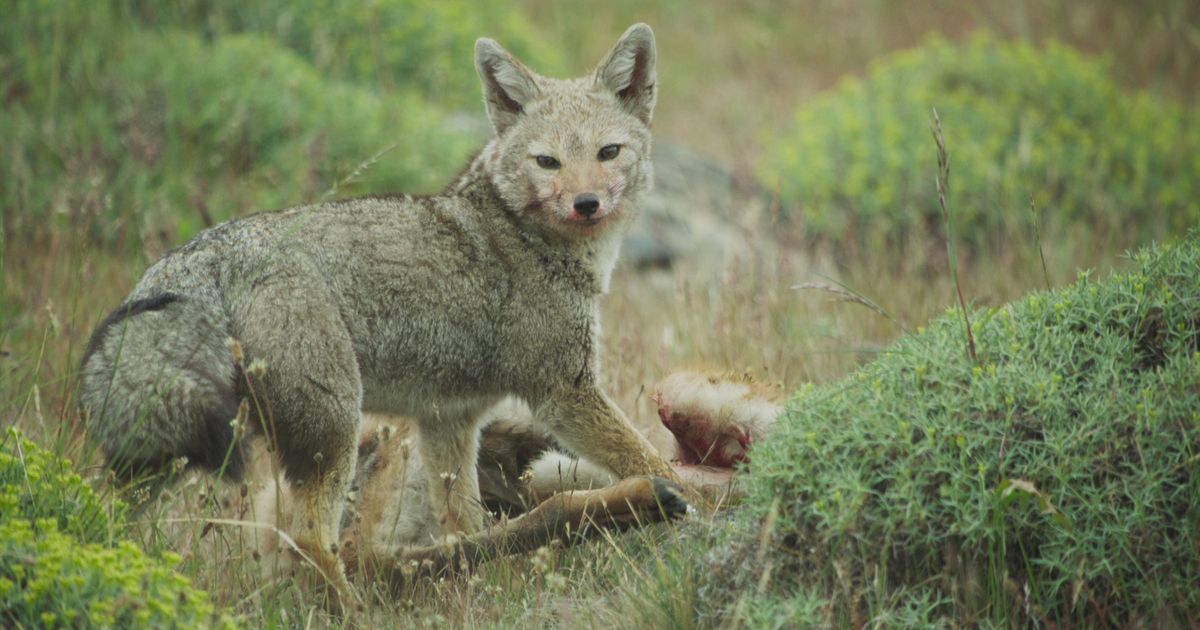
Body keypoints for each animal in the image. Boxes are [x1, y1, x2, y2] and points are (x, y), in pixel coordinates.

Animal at [79, 23, 681, 595]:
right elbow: (652, 461)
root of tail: (202, 253)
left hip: (164, 455)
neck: (523, 234)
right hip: (333, 429)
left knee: (101, 514)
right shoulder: (564, 392)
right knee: (310, 542)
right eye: (548, 162)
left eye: (608, 153)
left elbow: (466, 525)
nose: (587, 204)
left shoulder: (449, 422)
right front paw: (689, 505)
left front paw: (489, 588)